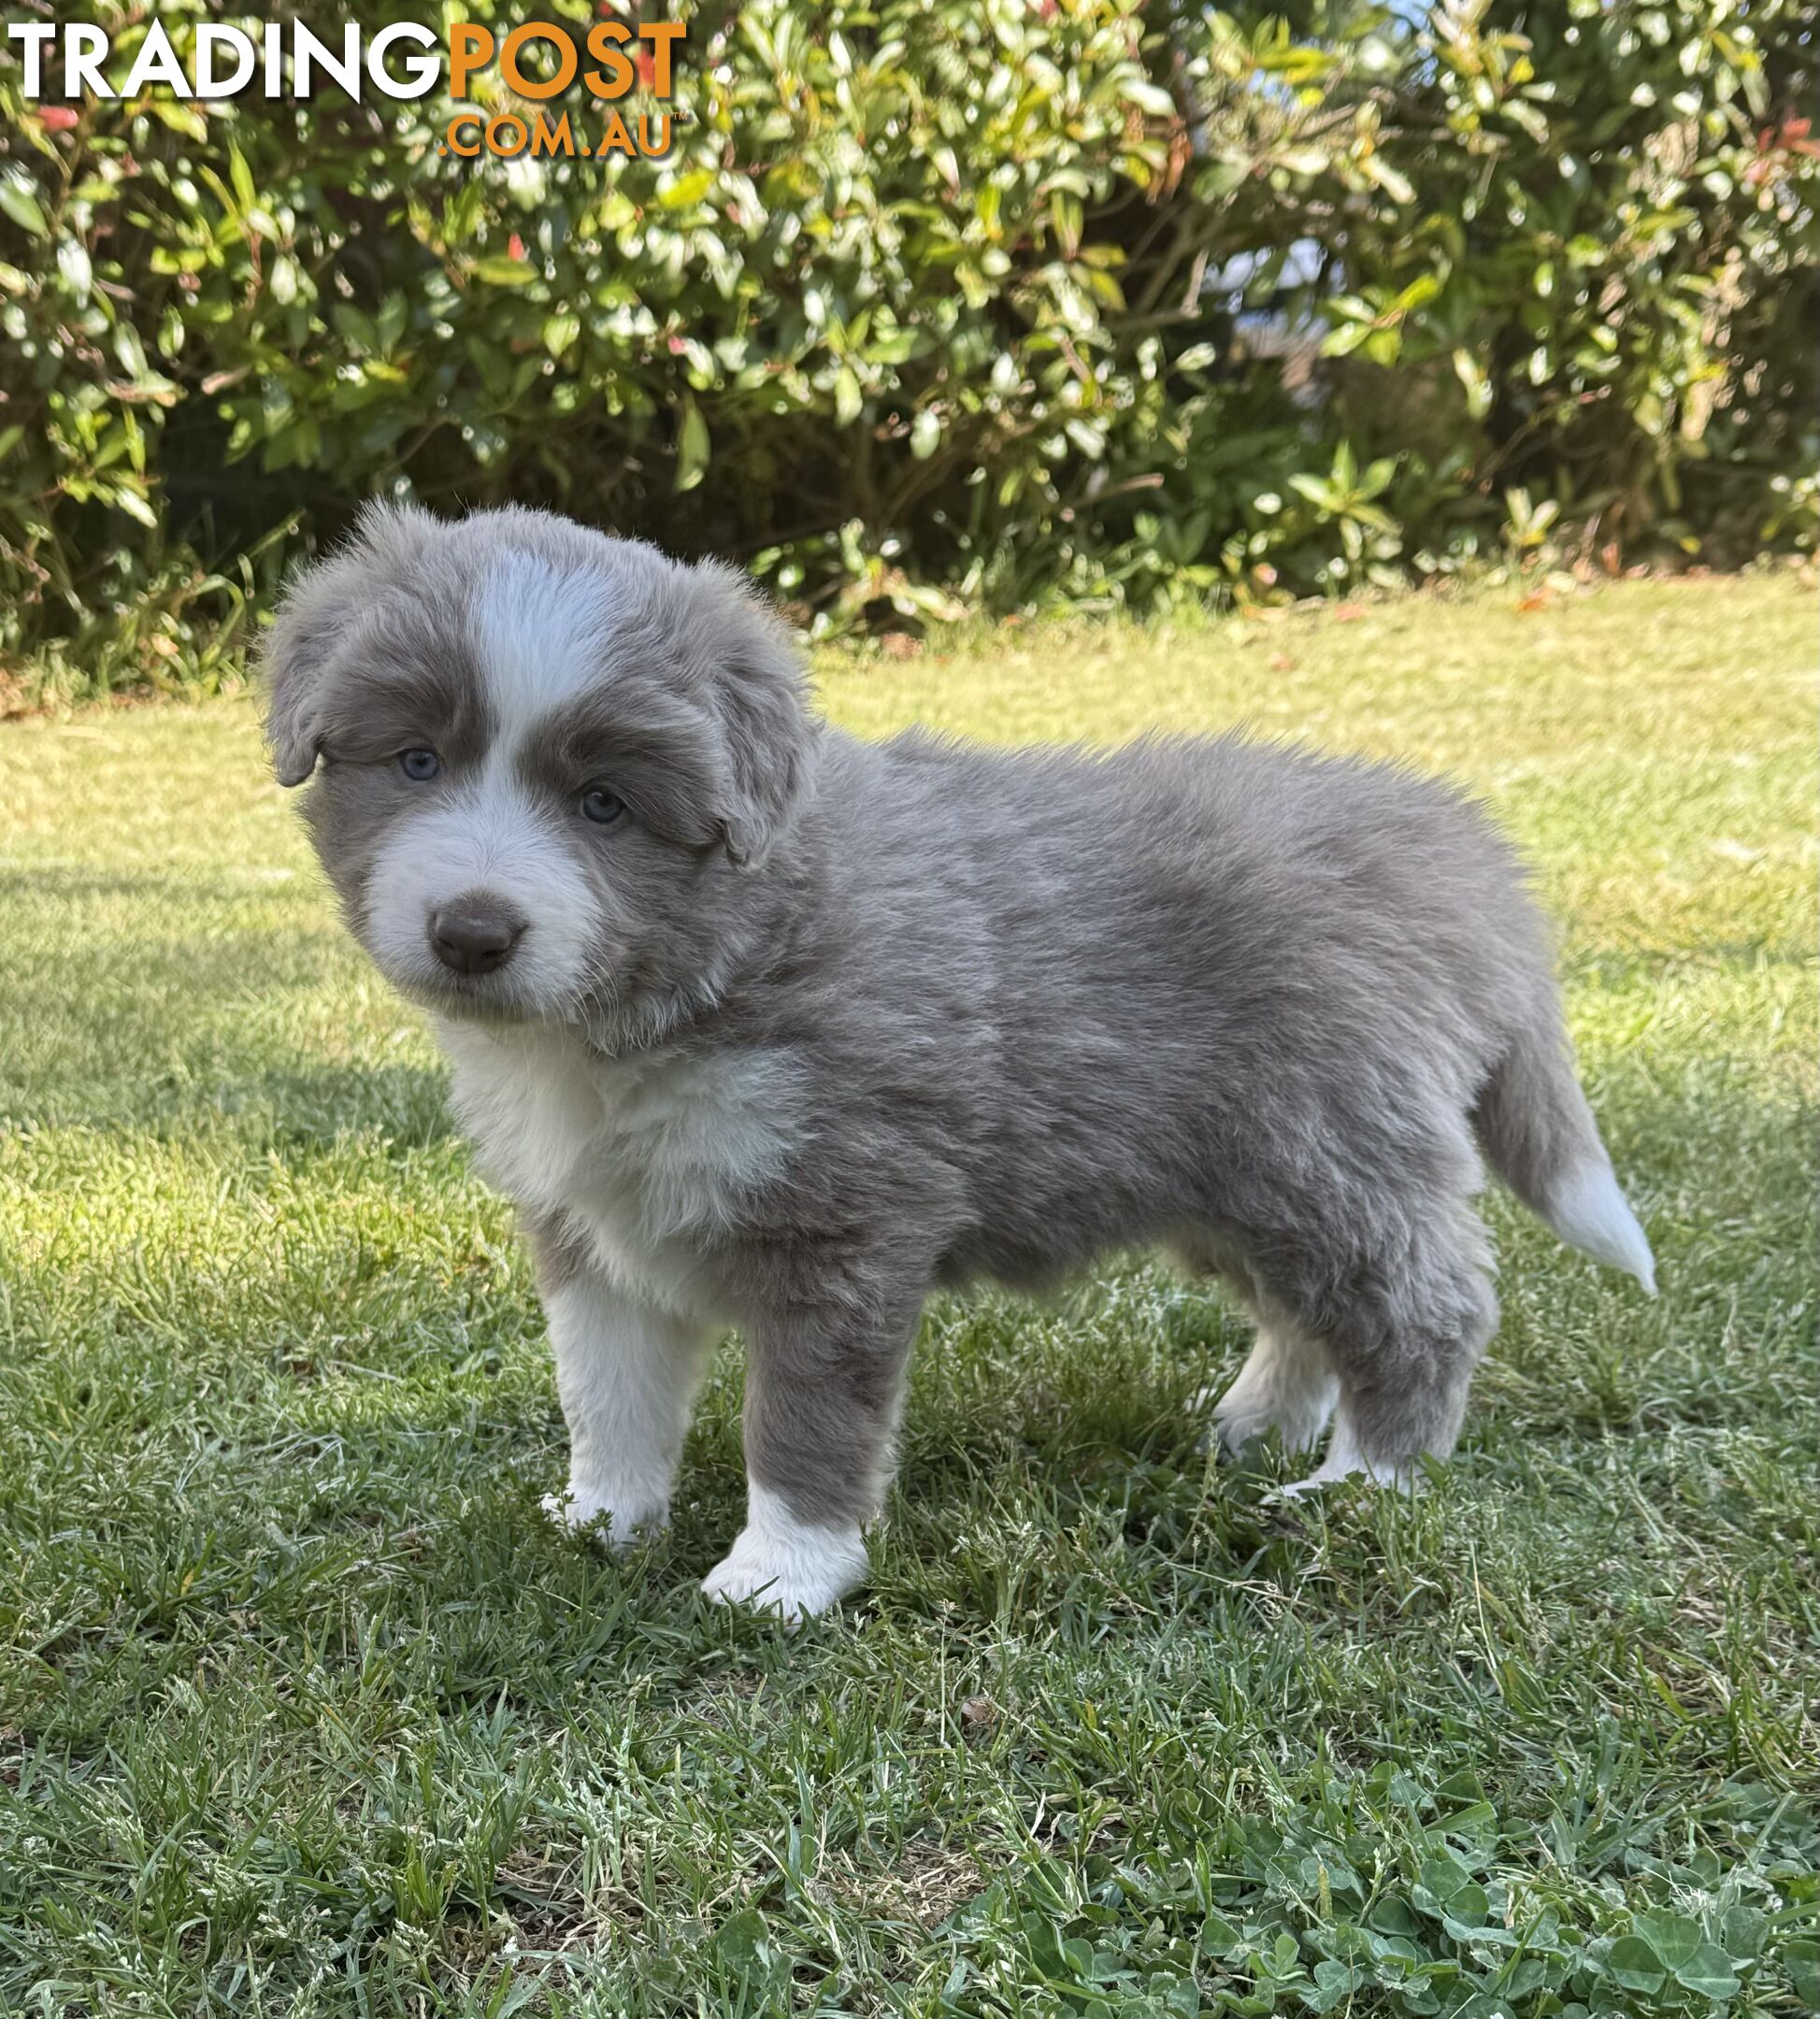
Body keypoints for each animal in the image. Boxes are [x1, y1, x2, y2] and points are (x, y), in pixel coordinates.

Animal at [262, 505, 1655, 1623]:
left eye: (603, 804)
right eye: (417, 760)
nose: (473, 931)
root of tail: (1458, 851)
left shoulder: (844, 1217)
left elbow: (803, 1420)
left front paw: (778, 1577)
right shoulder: (593, 1226)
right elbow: (607, 1395)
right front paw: (602, 1522)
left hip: (1330, 1144)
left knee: (1418, 1302)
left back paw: (1365, 1484)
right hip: (1242, 1175)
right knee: (1304, 1309)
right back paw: (1257, 1429)